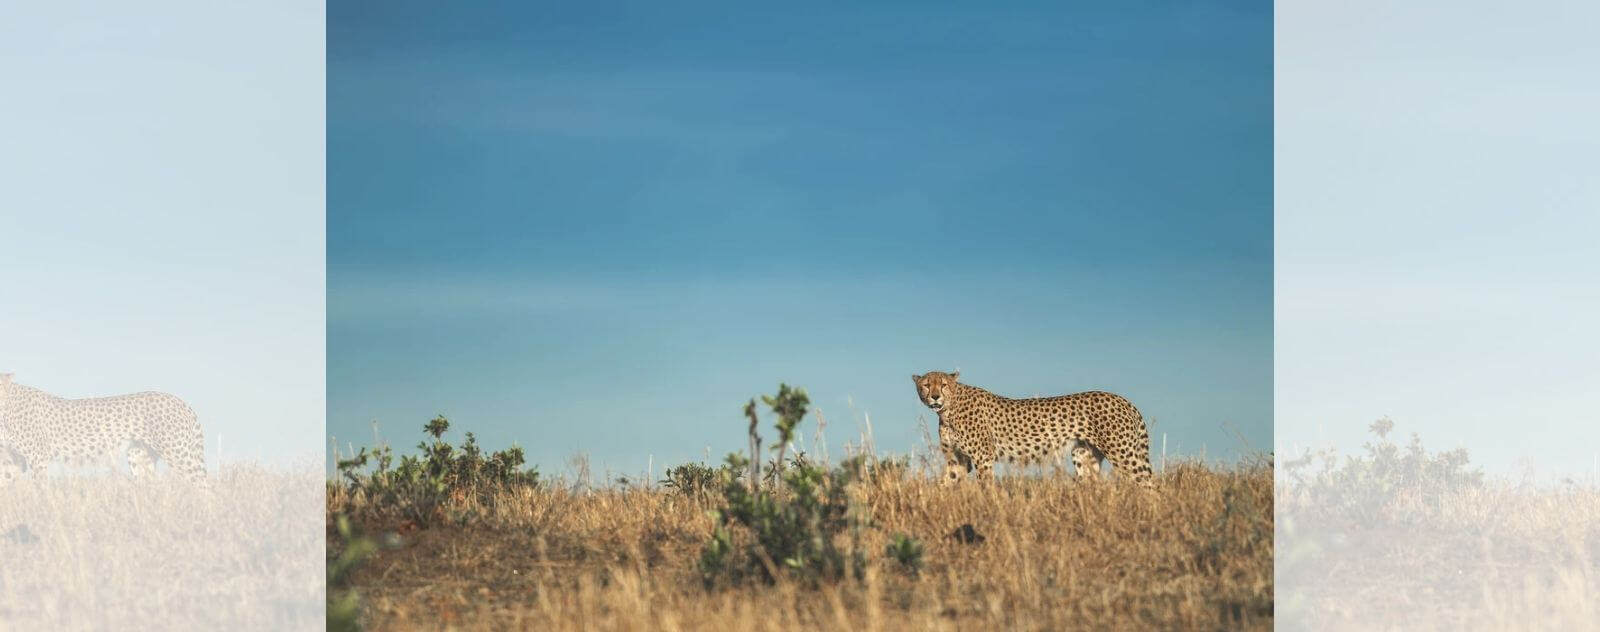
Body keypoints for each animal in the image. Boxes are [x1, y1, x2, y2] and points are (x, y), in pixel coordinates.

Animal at [0, 374, 208, 486]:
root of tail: (178, 399)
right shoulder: (12, 459)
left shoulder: (37, 456)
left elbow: (39, 485)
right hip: (138, 455)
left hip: (177, 453)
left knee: (202, 484)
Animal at [915, 371, 1152, 489]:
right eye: (926, 385)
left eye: (943, 384)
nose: (934, 396)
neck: (947, 409)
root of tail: (1123, 399)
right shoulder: (958, 459)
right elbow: (945, 482)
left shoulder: (983, 456)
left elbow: (985, 485)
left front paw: (988, 506)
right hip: (1083, 455)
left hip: (1122, 454)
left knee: (1149, 484)